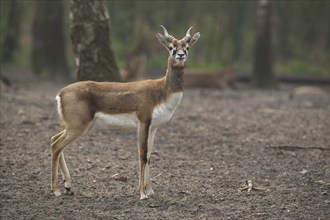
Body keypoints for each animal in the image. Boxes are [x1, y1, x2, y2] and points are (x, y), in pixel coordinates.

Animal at [51, 25, 201, 199]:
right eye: (171, 47)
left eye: (187, 47)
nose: (180, 55)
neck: (161, 91)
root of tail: (61, 93)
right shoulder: (143, 122)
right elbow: (142, 154)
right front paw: (142, 193)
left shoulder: (153, 127)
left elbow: (150, 155)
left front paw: (150, 190)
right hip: (78, 126)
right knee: (56, 146)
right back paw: (56, 190)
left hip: (78, 126)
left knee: (55, 140)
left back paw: (68, 186)